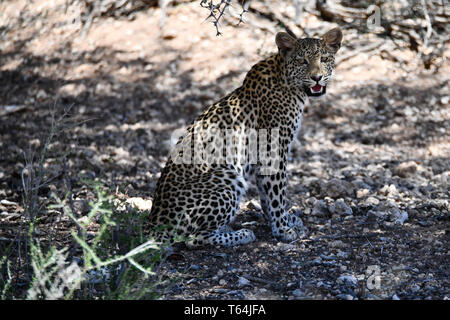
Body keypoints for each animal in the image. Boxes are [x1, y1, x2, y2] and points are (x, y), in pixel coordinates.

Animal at [147, 27, 342, 248]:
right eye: (302, 61)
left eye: (324, 59)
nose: (317, 77)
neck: (289, 84)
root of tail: (153, 224)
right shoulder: (273, 151)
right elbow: (277, 195)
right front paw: (284, 229)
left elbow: (267, 196)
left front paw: (283, 221)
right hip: (227, 176)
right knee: (193, 238)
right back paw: (241, 234)